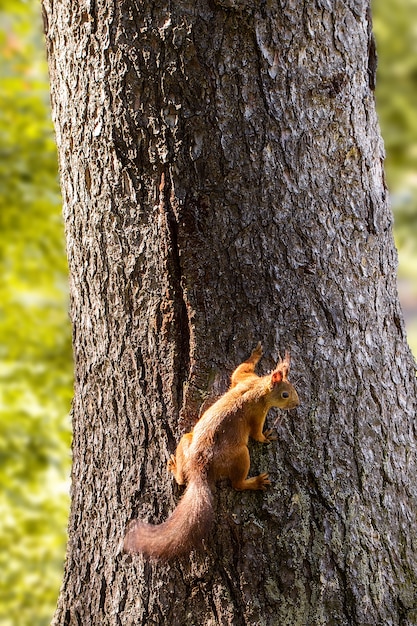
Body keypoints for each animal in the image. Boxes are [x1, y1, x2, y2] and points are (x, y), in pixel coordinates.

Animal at [123, 344, 300, 560]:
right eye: (285, 395)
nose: (297, 404)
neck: (258, 388)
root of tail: (200, 468)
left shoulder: (245, 379)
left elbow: (239, 370)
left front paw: (256, 353)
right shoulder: (257, 413)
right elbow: (256, 434)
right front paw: (267, 436)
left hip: (186, 441)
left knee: (182, 478)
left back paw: (174, 467)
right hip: (240, 455)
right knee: (237, 484)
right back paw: (255, 482)